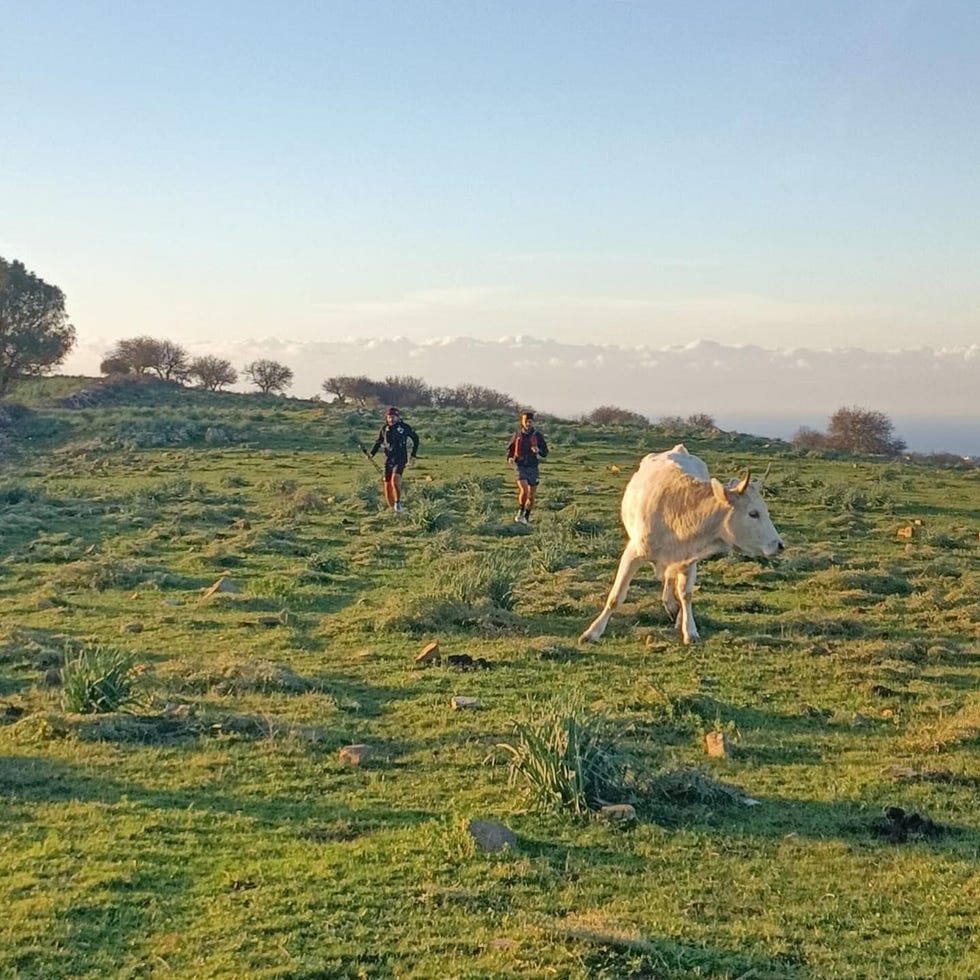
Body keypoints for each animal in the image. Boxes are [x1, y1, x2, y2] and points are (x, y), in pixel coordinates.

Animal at [580, 446, 784, 648]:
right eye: (753, 513)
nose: (779, 545)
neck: (677, 514)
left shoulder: (689, 559)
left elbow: (685, 594)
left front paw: (689, 630)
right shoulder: (633, 553)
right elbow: (616, 596)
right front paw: (592, 632)